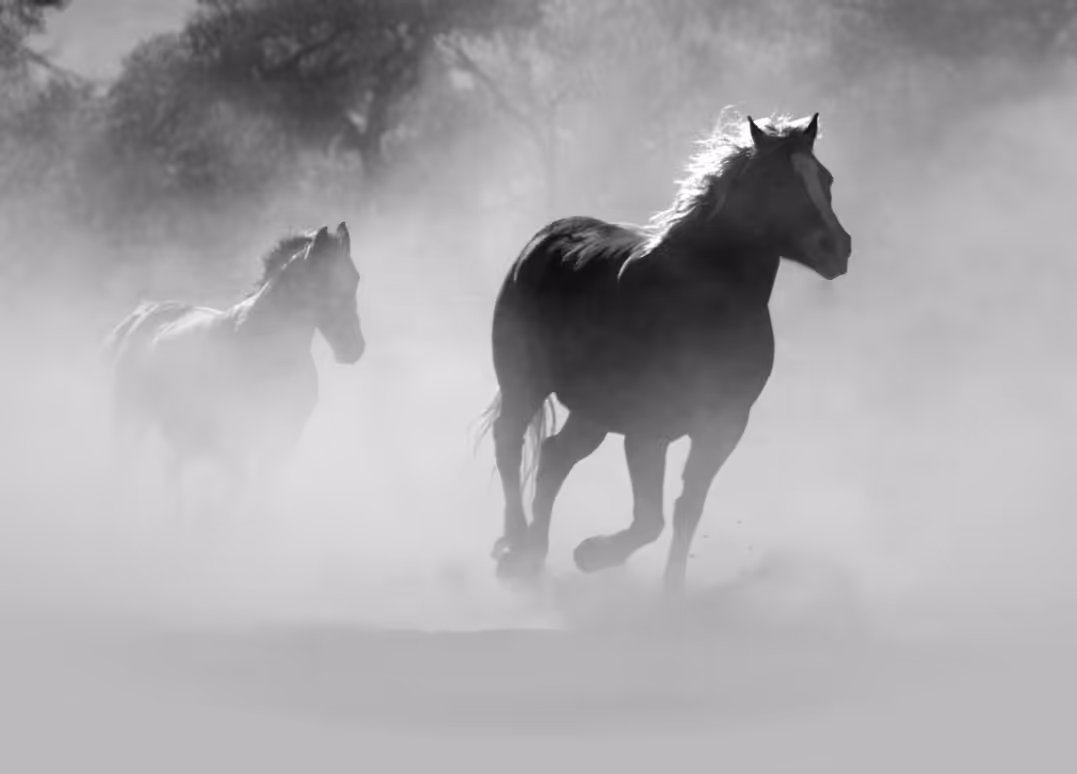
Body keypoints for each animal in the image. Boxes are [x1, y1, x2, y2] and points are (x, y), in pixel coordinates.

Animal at [103, 222, 364, 517]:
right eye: (323, 281)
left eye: (355, 278)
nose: (354, 347)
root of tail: (140, 315)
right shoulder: (229, 437)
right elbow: (240, 485)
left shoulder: (282, 437)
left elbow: (258, 490)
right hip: (130, 415)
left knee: (173, 470)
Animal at [482, 112, 852, 595]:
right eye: (775, 182)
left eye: (825, 179)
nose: (837, 248)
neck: (701, 302)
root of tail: (544, 239)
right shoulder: (647, 431)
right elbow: (649, 520)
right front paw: (592, 554)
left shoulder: (723, 426)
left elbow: (686, 509)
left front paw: (671, 592)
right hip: (524, 383)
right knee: (510, 444)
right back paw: (516, 549)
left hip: (593, 411)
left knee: (554, 456)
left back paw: (534, 553)